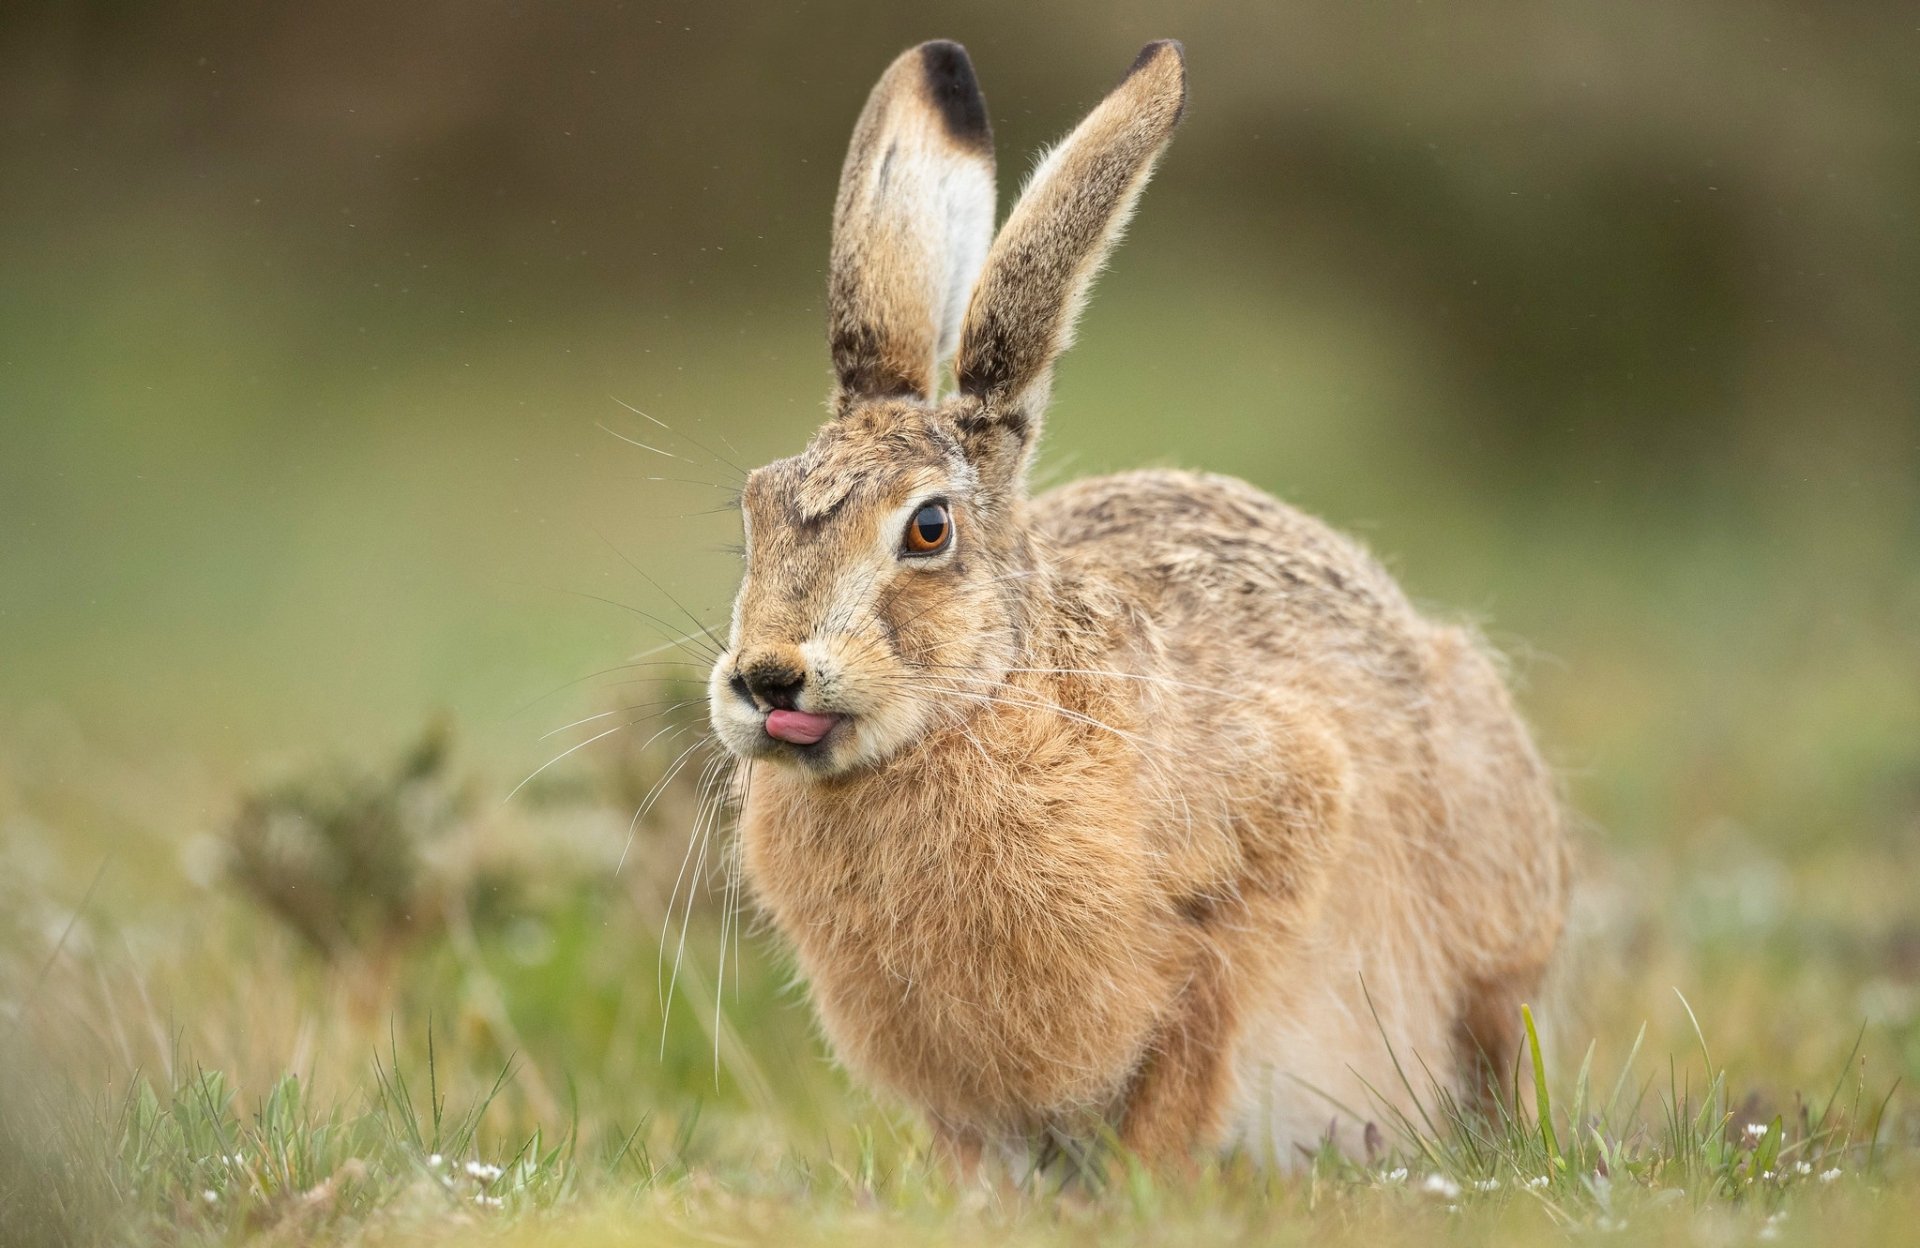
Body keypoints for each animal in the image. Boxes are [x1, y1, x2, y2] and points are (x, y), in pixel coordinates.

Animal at [704, 38, 1570, 1175]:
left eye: (929, 529)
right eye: (756, 509)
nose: (769, 678)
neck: (982, 706)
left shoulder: (1279, 836)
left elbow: (1195, 1044)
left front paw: (1151, 1183)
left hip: (1494, 927)